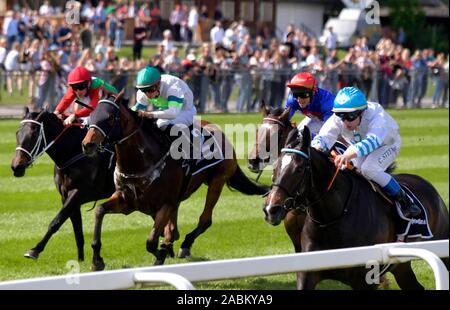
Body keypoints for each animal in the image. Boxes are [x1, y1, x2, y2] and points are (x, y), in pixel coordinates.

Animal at [10, 108, 115, 260]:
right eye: (17, 132)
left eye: (34, 134)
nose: (16, 166)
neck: (74, 152)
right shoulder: (66, 197)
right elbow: (77, 232)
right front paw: (80, 261)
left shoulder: (77, 193)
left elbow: (56, 221)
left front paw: (35, 250)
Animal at [81, 93, 268, 270]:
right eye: (92, 115)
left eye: (110, 117)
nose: (87, 144)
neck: (142, 160)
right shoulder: (127, 201)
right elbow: (99, 210)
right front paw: (97, 260)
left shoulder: (166, 203)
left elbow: (151, 242)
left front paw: (161, 254)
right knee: (174, 228)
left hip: (217, 181)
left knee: (205, 219)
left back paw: (185, 245)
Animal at [262, 125, 448, 288]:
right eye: (275, 168)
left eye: (299, 168)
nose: (271, 209)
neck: (332, 218)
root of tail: (430, 188)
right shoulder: (307, 271)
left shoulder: (366, 279)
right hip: (401, 266)